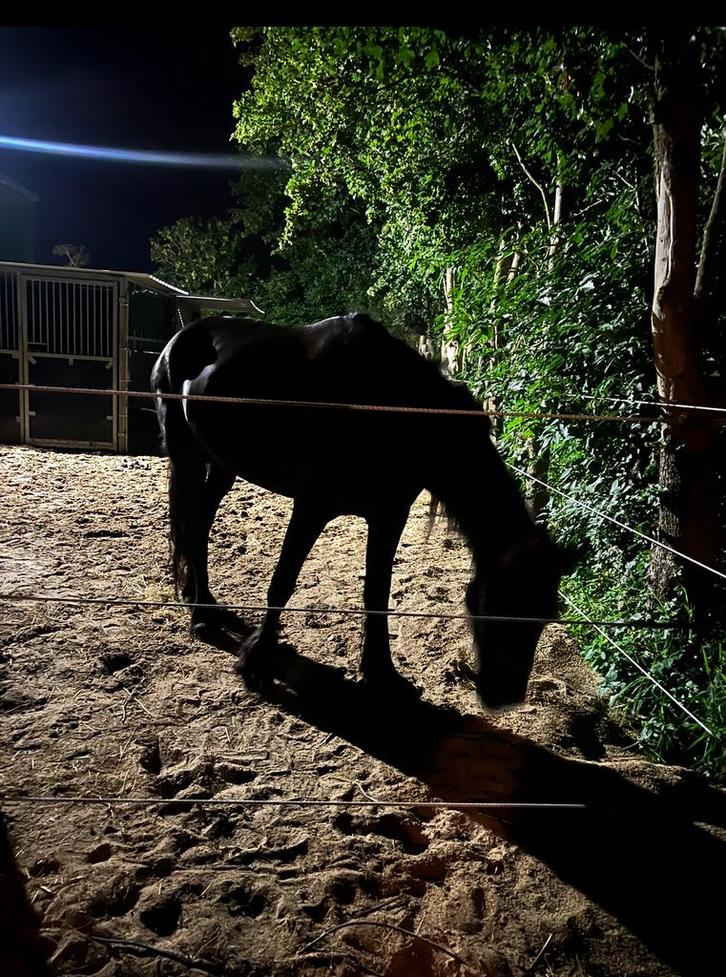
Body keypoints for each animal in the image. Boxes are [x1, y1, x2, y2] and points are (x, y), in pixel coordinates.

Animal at [151, 312, 579, 710]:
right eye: (507, 604)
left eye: (545, 614)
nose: (506, 695)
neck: (389, 409)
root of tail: (179, 339)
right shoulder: (313, 506)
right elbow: (282, 583)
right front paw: (256, 665)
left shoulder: (389, 514)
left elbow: (377, 593)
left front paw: (383, 677)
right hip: (187, 456)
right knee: (190, 526)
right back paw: (201, 616)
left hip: (223, 465)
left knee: (199, 526)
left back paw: (204, 602)